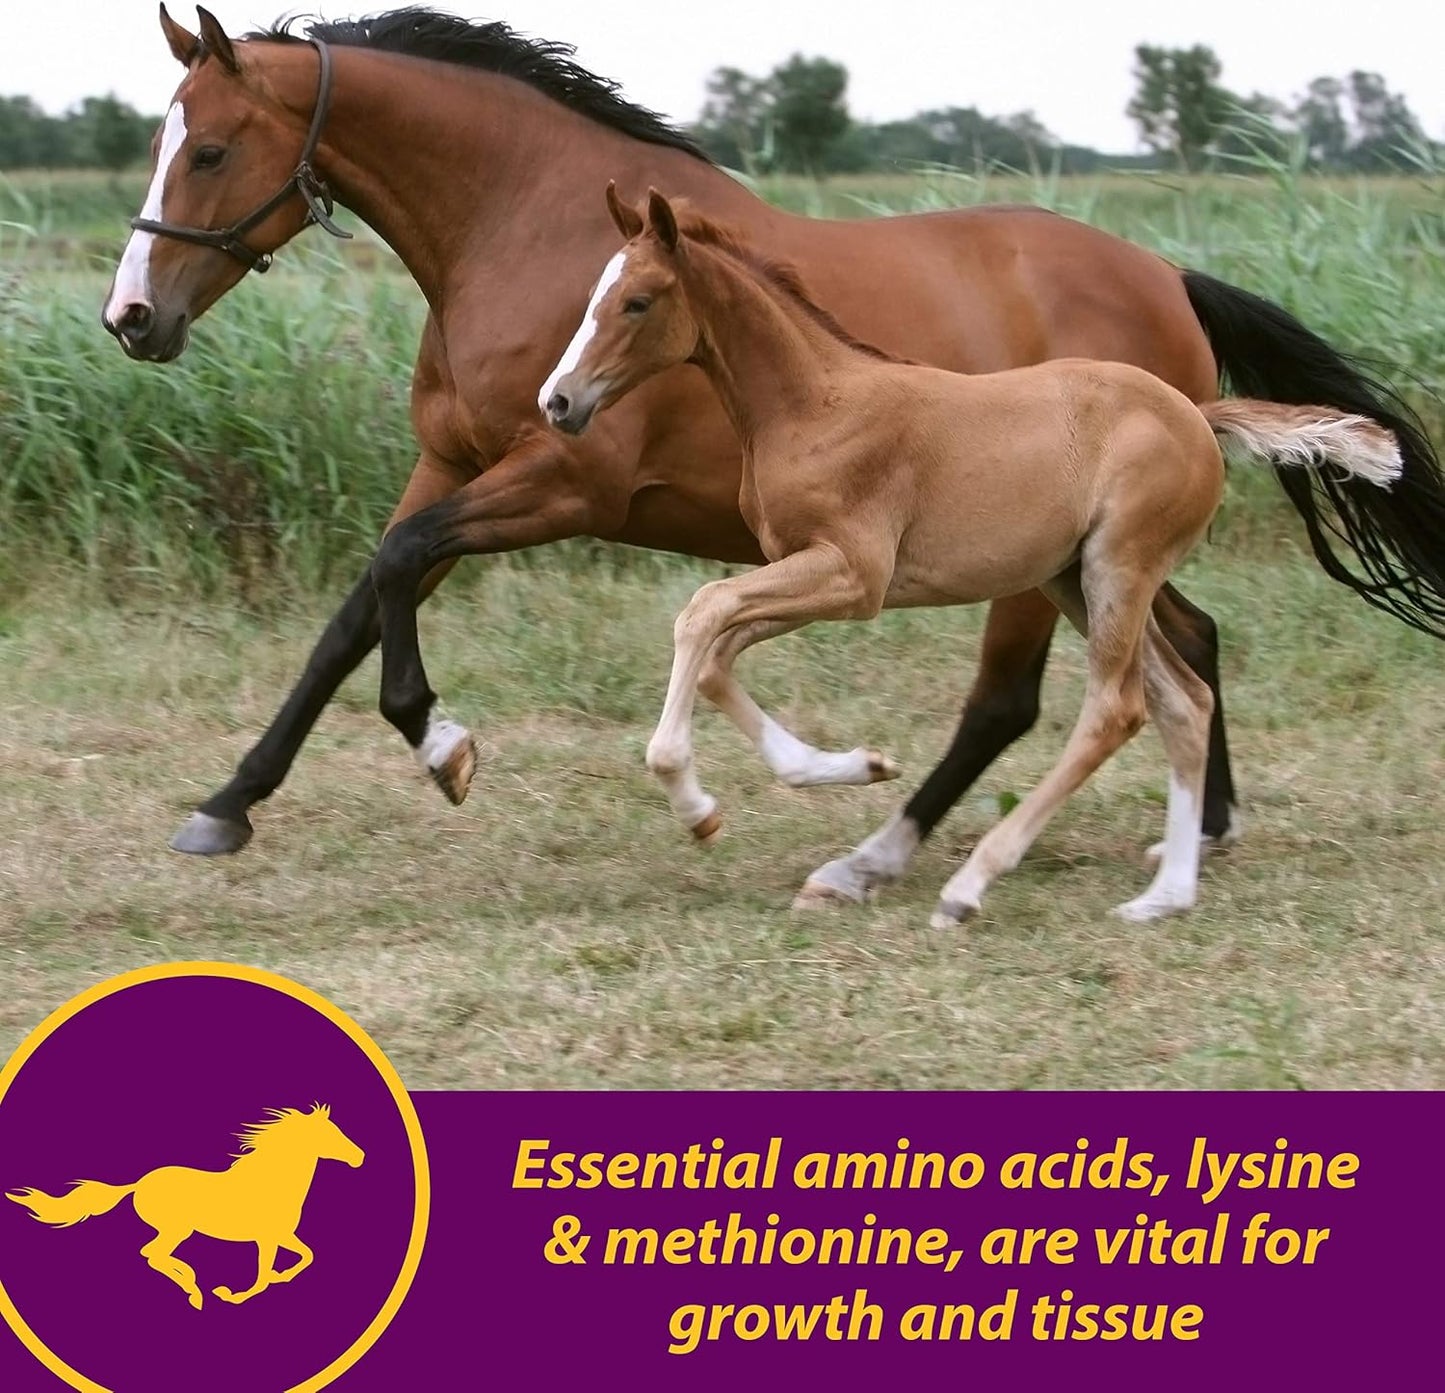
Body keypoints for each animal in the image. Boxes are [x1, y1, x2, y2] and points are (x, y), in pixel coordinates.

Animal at [6, 1104, 363, 1310]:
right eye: (330, 1135)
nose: (359, 1157)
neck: (272, 1183)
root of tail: (139, 1183)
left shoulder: (283, 1236)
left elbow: (307, 1256)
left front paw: (280, 1277)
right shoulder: (265, 1239)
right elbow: (261, 1277)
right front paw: (231, 1295)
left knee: (153, 1255)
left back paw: (192, 1284)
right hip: (176, 1229)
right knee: (152, 1254)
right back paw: (194, 1289)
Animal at [539, 187, 1401, 923]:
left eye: (637, 301)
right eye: (590, 296)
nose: (557, 401)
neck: (814, 402)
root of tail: (1195, 411)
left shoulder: (853, 575)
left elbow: (701, 613)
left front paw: (692, 801)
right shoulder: (803, 570)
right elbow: (718, 655)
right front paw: (854, 766)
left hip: (1116, 570)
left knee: (1113, 709)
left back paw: (970, 883)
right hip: (1074, 580)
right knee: (1182, 701)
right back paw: (1163, 895)